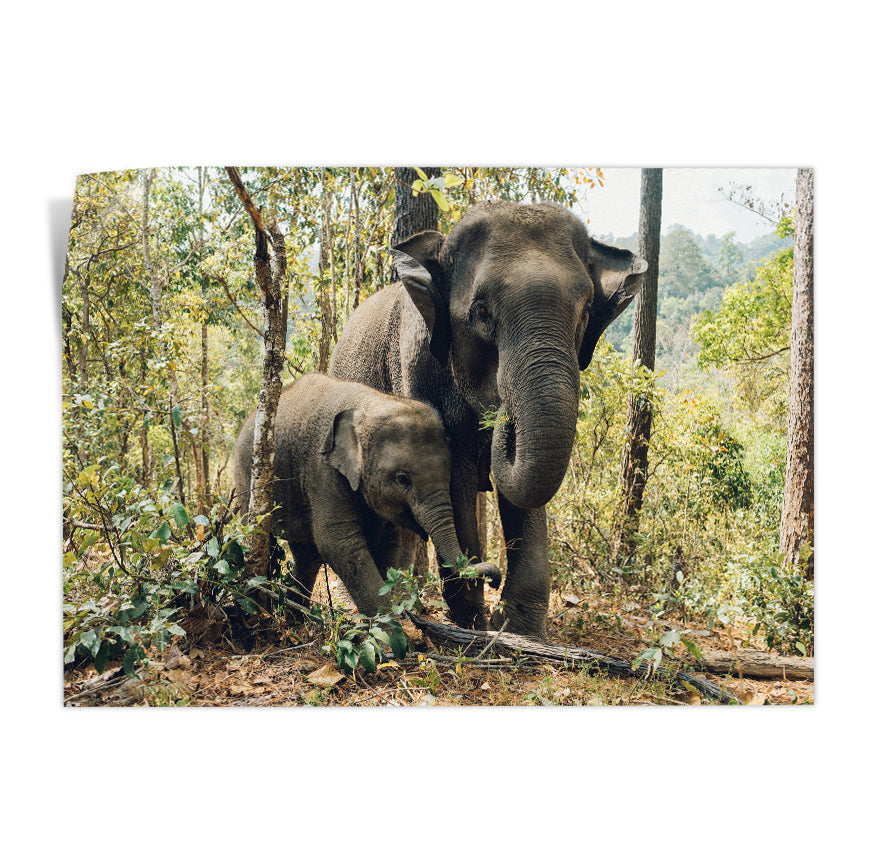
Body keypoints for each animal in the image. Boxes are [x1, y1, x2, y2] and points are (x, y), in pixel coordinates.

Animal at [232, 372, 501, 616]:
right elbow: (338, 542)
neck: (370, 404)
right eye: (402, 479)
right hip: (247, 479)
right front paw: (390, 629)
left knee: (307, 555)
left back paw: (297, 616)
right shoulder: (323, 471)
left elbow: (388, 541)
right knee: (260, 536)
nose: (495, 581)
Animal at [330, 200, 646, 636]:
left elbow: (524, 489)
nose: (501, 413)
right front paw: (474, 622)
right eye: (481, 312)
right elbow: (456, 476)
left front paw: (518, 628)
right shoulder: (418, 368)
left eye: (584, 313)